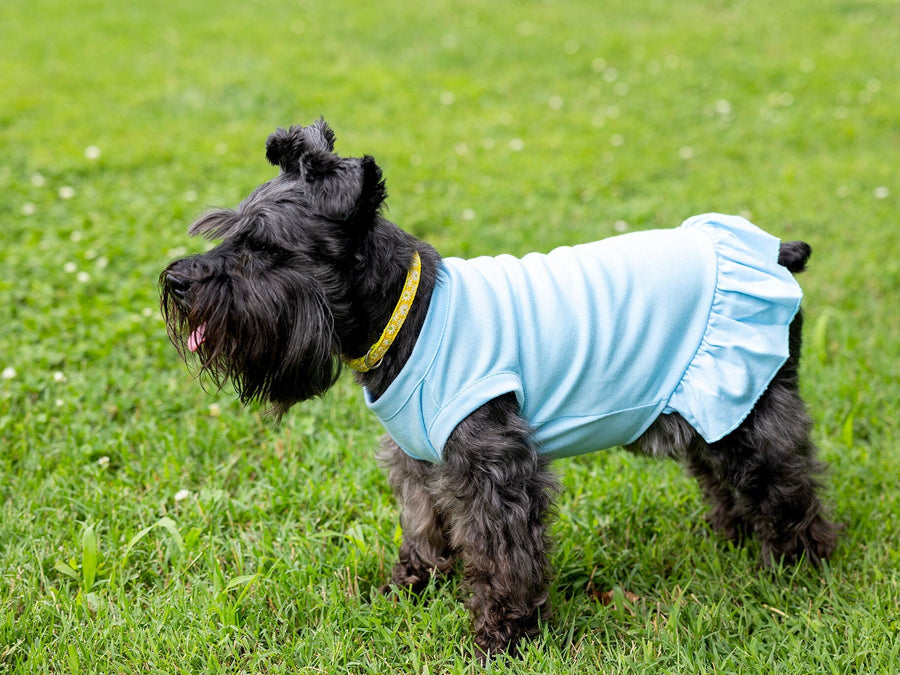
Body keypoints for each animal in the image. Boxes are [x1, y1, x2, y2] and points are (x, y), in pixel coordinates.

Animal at [160, 120, 836, 660]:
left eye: (267, 249)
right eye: (226, 235)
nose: (176, 281)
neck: (406, 314)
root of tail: (773, 251)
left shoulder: (495, 470)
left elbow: (504, 554)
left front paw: (500, 638)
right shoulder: (417, 461)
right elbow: (423, 528)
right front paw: (408, 591)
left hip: (749, 407)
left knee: (787, 483)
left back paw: (799, 567)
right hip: (708, 409)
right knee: (723, 475)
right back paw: (731, 538)